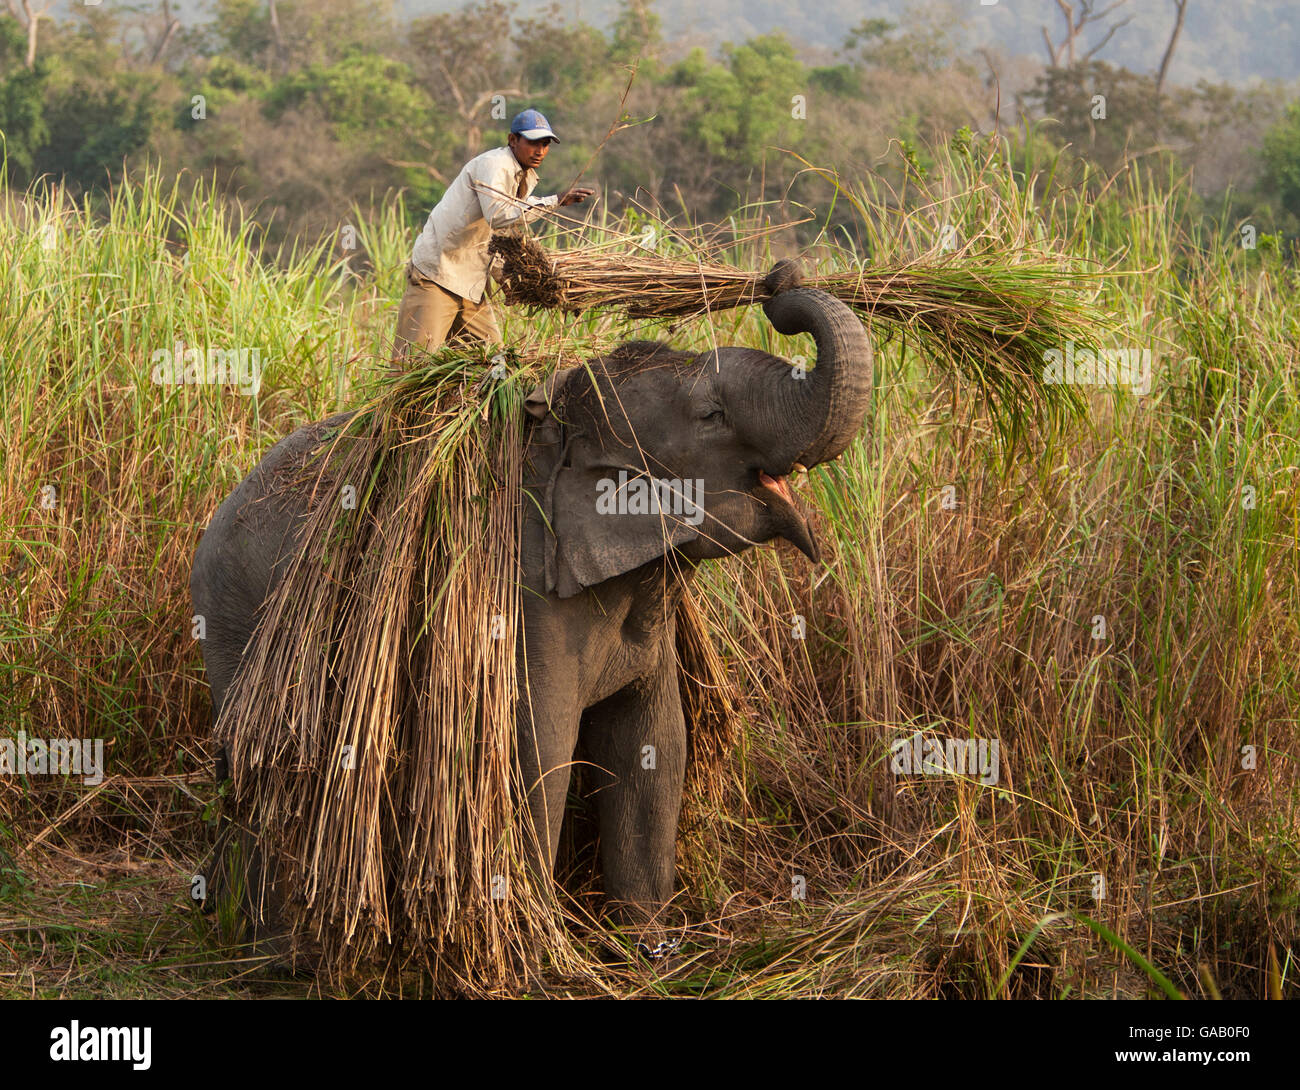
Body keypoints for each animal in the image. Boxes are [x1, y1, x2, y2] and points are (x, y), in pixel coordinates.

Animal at [189, 262, 873, 957]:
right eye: (711, 416)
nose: (781, 278)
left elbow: (655, 742)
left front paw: (647, 947)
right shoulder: (524, 598)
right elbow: (536, 750)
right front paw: (544, 955)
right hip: (238, 615)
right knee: (266, 765)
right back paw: (272, 947)